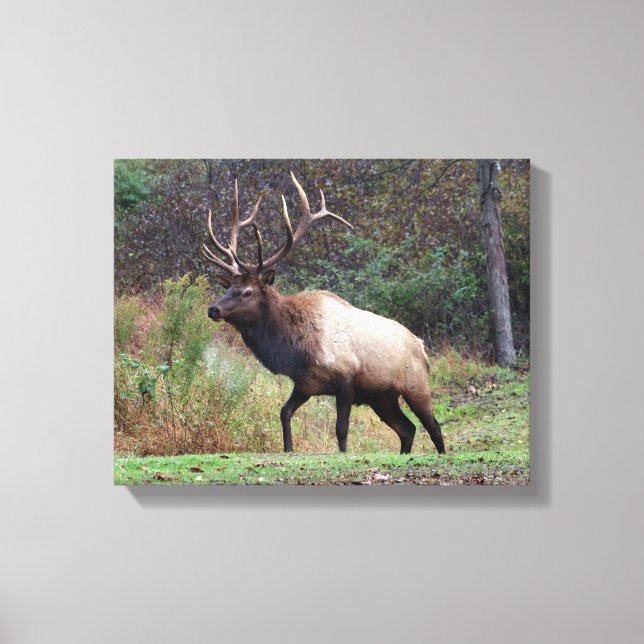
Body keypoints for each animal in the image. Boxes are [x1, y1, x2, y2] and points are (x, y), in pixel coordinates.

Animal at [202, 172, 445, 455]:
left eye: (247, 292)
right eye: (229, 287)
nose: (213, 308)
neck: (297, 349)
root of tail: (421, 345)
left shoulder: (345, 379)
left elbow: (341, 429)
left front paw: (343, 454)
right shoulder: (305, 384)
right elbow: (284, 413)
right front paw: (288, 450)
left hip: (415, 384)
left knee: (433, 426)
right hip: (381, 397)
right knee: (408, 429)